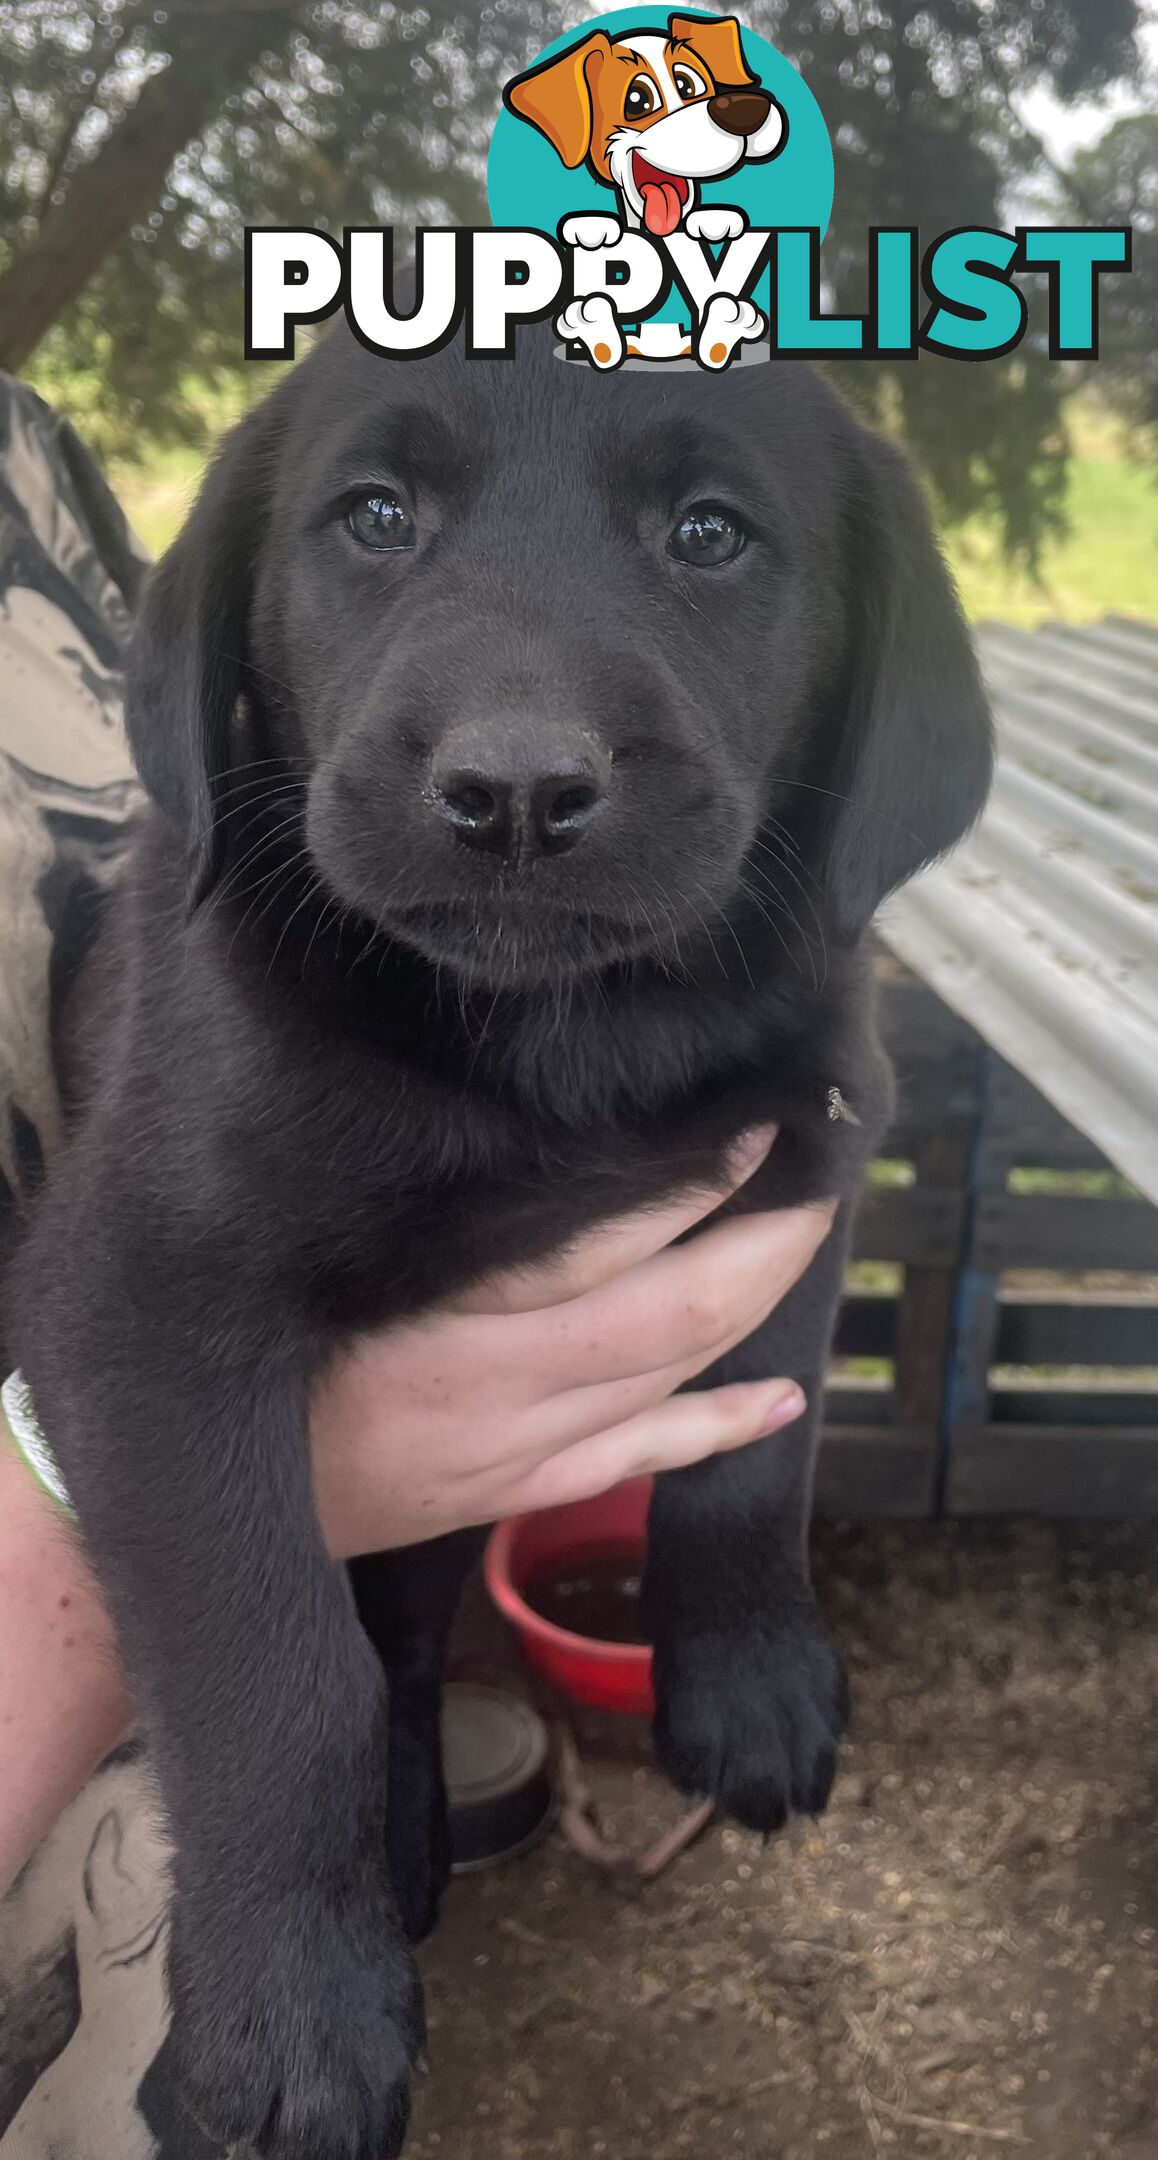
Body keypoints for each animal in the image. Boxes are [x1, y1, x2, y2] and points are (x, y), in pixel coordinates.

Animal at [11, 324, 985, 2160]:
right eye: (375, 516)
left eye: (709, 534)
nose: (518, 788)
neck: (556, 1042)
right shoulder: (141, 1310)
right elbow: (276, 1663)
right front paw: (293, 2020)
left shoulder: (806, 1154)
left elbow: (756, 1444)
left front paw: (751, 1686)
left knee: (404, 1643)